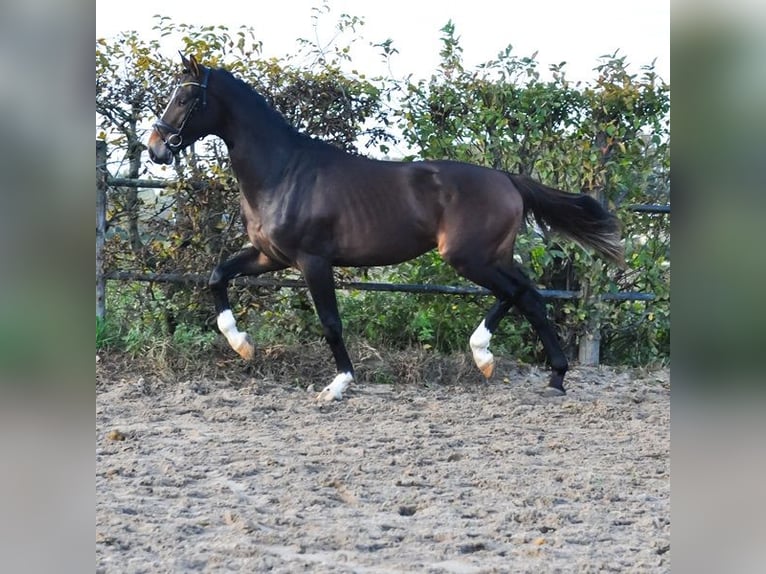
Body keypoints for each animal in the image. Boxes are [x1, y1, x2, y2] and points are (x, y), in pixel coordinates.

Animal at [147, 56, 628, 402]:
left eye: (186, 99)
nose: (155, 148)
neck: (282, 172)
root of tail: (507, 179)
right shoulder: (270, 256)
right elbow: (217, 276)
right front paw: (242, 345)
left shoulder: (312, 261)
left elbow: (331, 323)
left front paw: (338, 385)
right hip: (492, 256)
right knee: (529, 296)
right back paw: (552, 377)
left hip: (469, 257)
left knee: (517, 294)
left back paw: (487, 356)